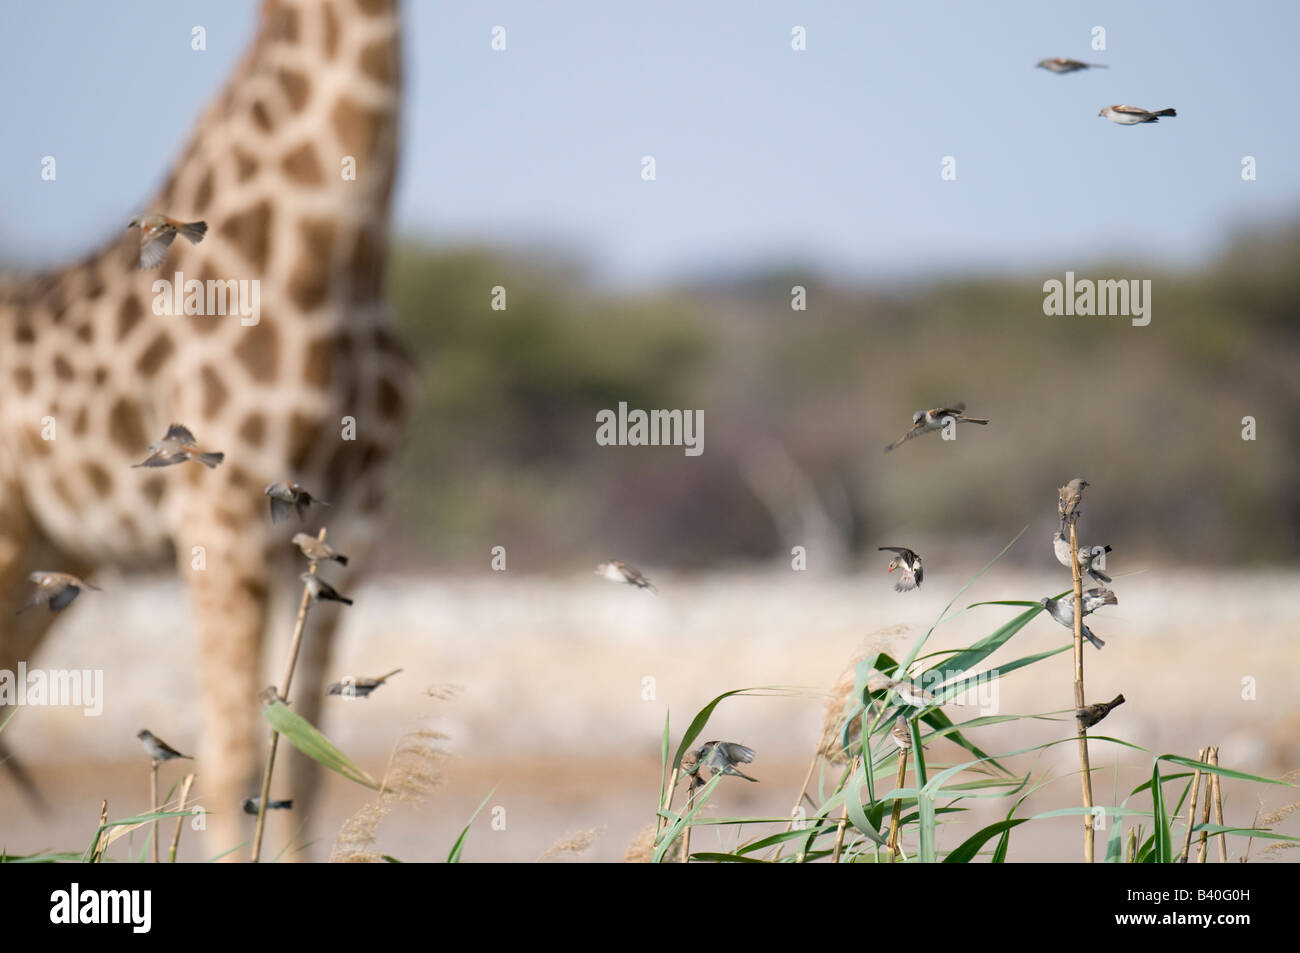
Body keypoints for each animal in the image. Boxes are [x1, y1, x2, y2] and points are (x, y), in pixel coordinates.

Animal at [0, 0, 410, 858]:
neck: (334, 262)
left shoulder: (353, 526)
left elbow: (302, 764)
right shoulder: (219, 521)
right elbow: (232, 762)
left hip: (47, 554)